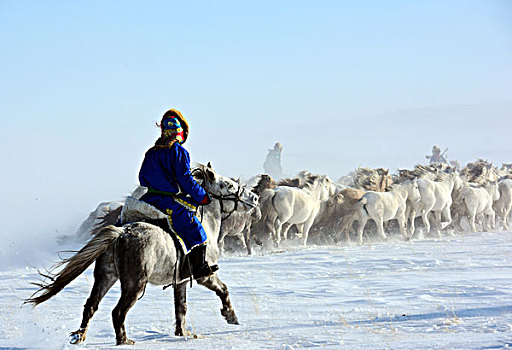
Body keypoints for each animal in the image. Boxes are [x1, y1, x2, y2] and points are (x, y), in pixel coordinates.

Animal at [25, 163, 258, 344]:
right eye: (228, 184)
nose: (254, 198)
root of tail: (122, 233)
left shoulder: (181, 281)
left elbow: (181, 308)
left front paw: (182, 333)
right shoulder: (205, 275)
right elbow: (223, 289)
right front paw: (230, 316)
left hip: (106, 276)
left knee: (91, 305)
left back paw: (80, 336)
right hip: (134, 284)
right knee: (118, 312)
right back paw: (124, 340)